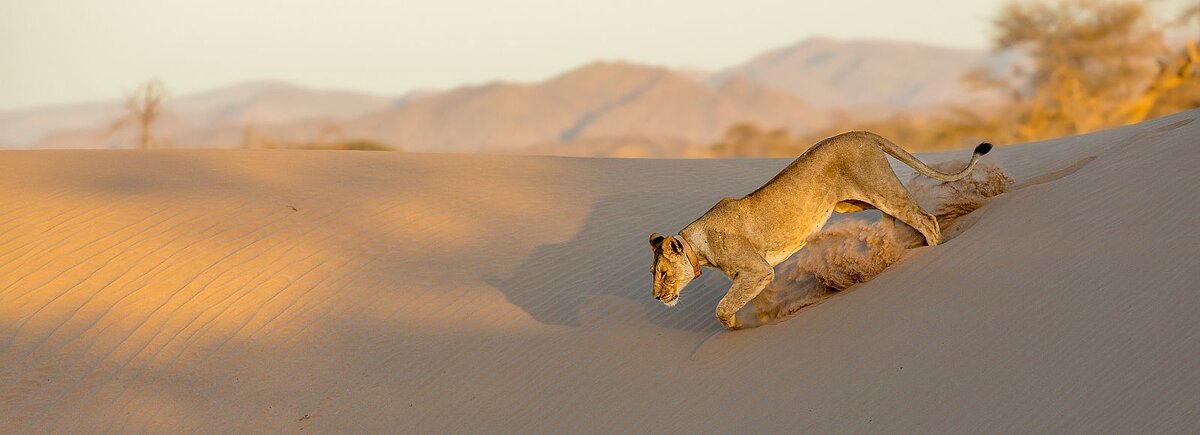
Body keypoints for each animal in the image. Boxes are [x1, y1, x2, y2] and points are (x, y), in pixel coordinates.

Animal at [649, 131, 991, 329]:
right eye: (653, 272)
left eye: (663, 273)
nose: (655, 298)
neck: (697, 245)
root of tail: (860, 132)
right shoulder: (755, 275)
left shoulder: (757, 270)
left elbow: (722, 307)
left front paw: (736, 325)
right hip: (852, 202)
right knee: (896, 219)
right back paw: (889, 249)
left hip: (880, 189)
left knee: (925, 218)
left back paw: (932, 248)